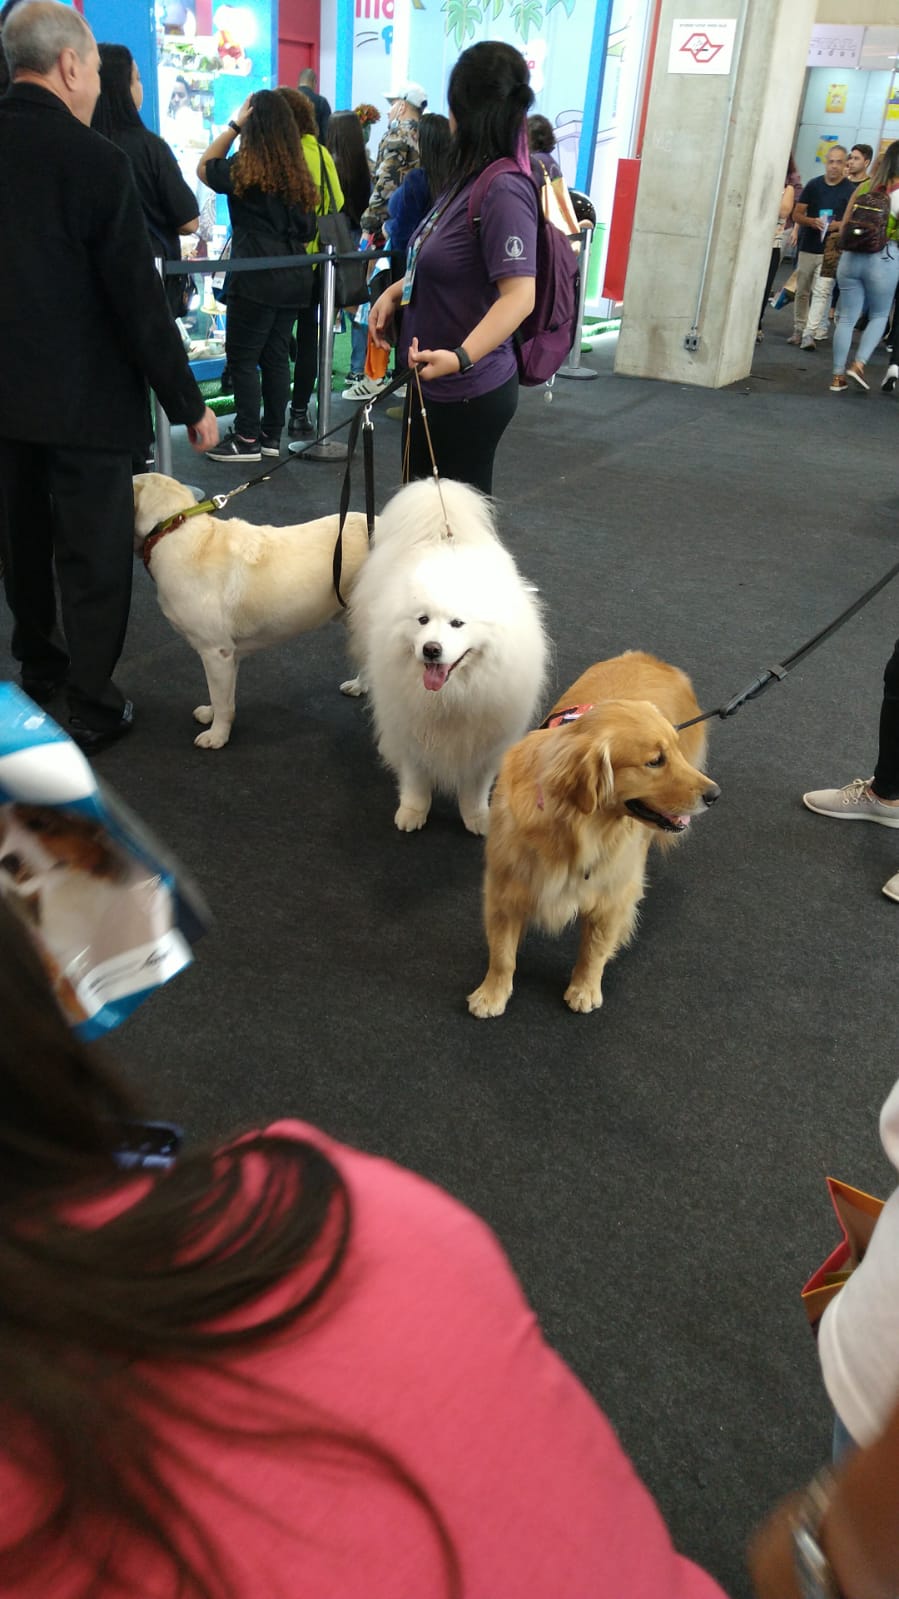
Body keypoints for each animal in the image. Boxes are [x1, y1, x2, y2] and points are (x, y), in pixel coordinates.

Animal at [340, 476, 547, 837]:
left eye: (457, 623)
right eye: (422, 620)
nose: (431, 649)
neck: (451, 696)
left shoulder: (487, 740)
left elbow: (476, 788)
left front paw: (478, 819)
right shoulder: (410, 728)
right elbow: (416, 780)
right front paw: (412, 813)